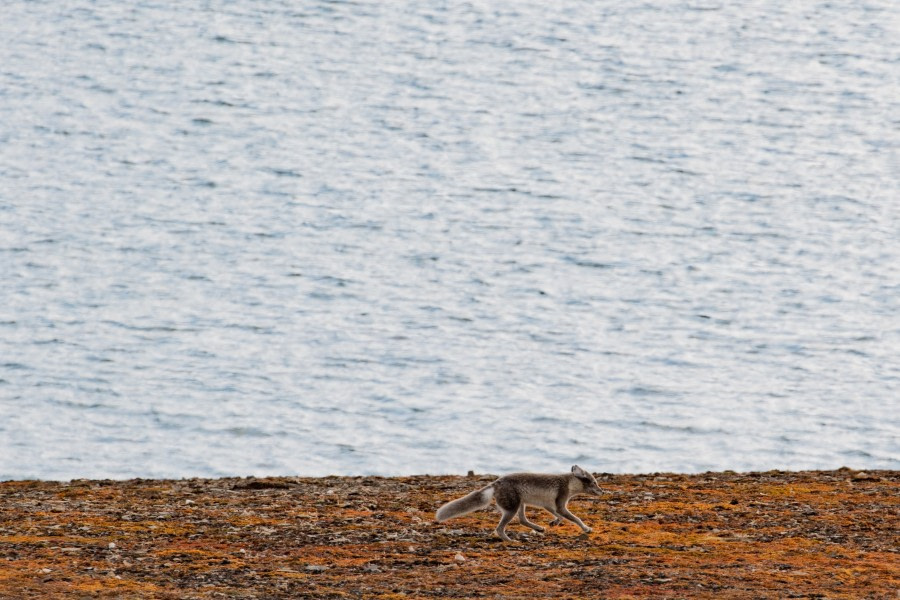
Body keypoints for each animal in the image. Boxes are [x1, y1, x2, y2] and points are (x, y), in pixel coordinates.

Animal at [436, 464, 604, 540]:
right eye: (594, 483)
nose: (603, 491)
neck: (569, 483)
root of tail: (496, 482)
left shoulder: (550, 505)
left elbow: (560, 516)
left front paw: (554, 522)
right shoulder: (560, 504)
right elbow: (576, 518)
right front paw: (586, 529)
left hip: (520, 504)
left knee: (522, 520)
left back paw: (538, 528)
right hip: (512, 508)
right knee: (499, 529)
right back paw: (510, 541)